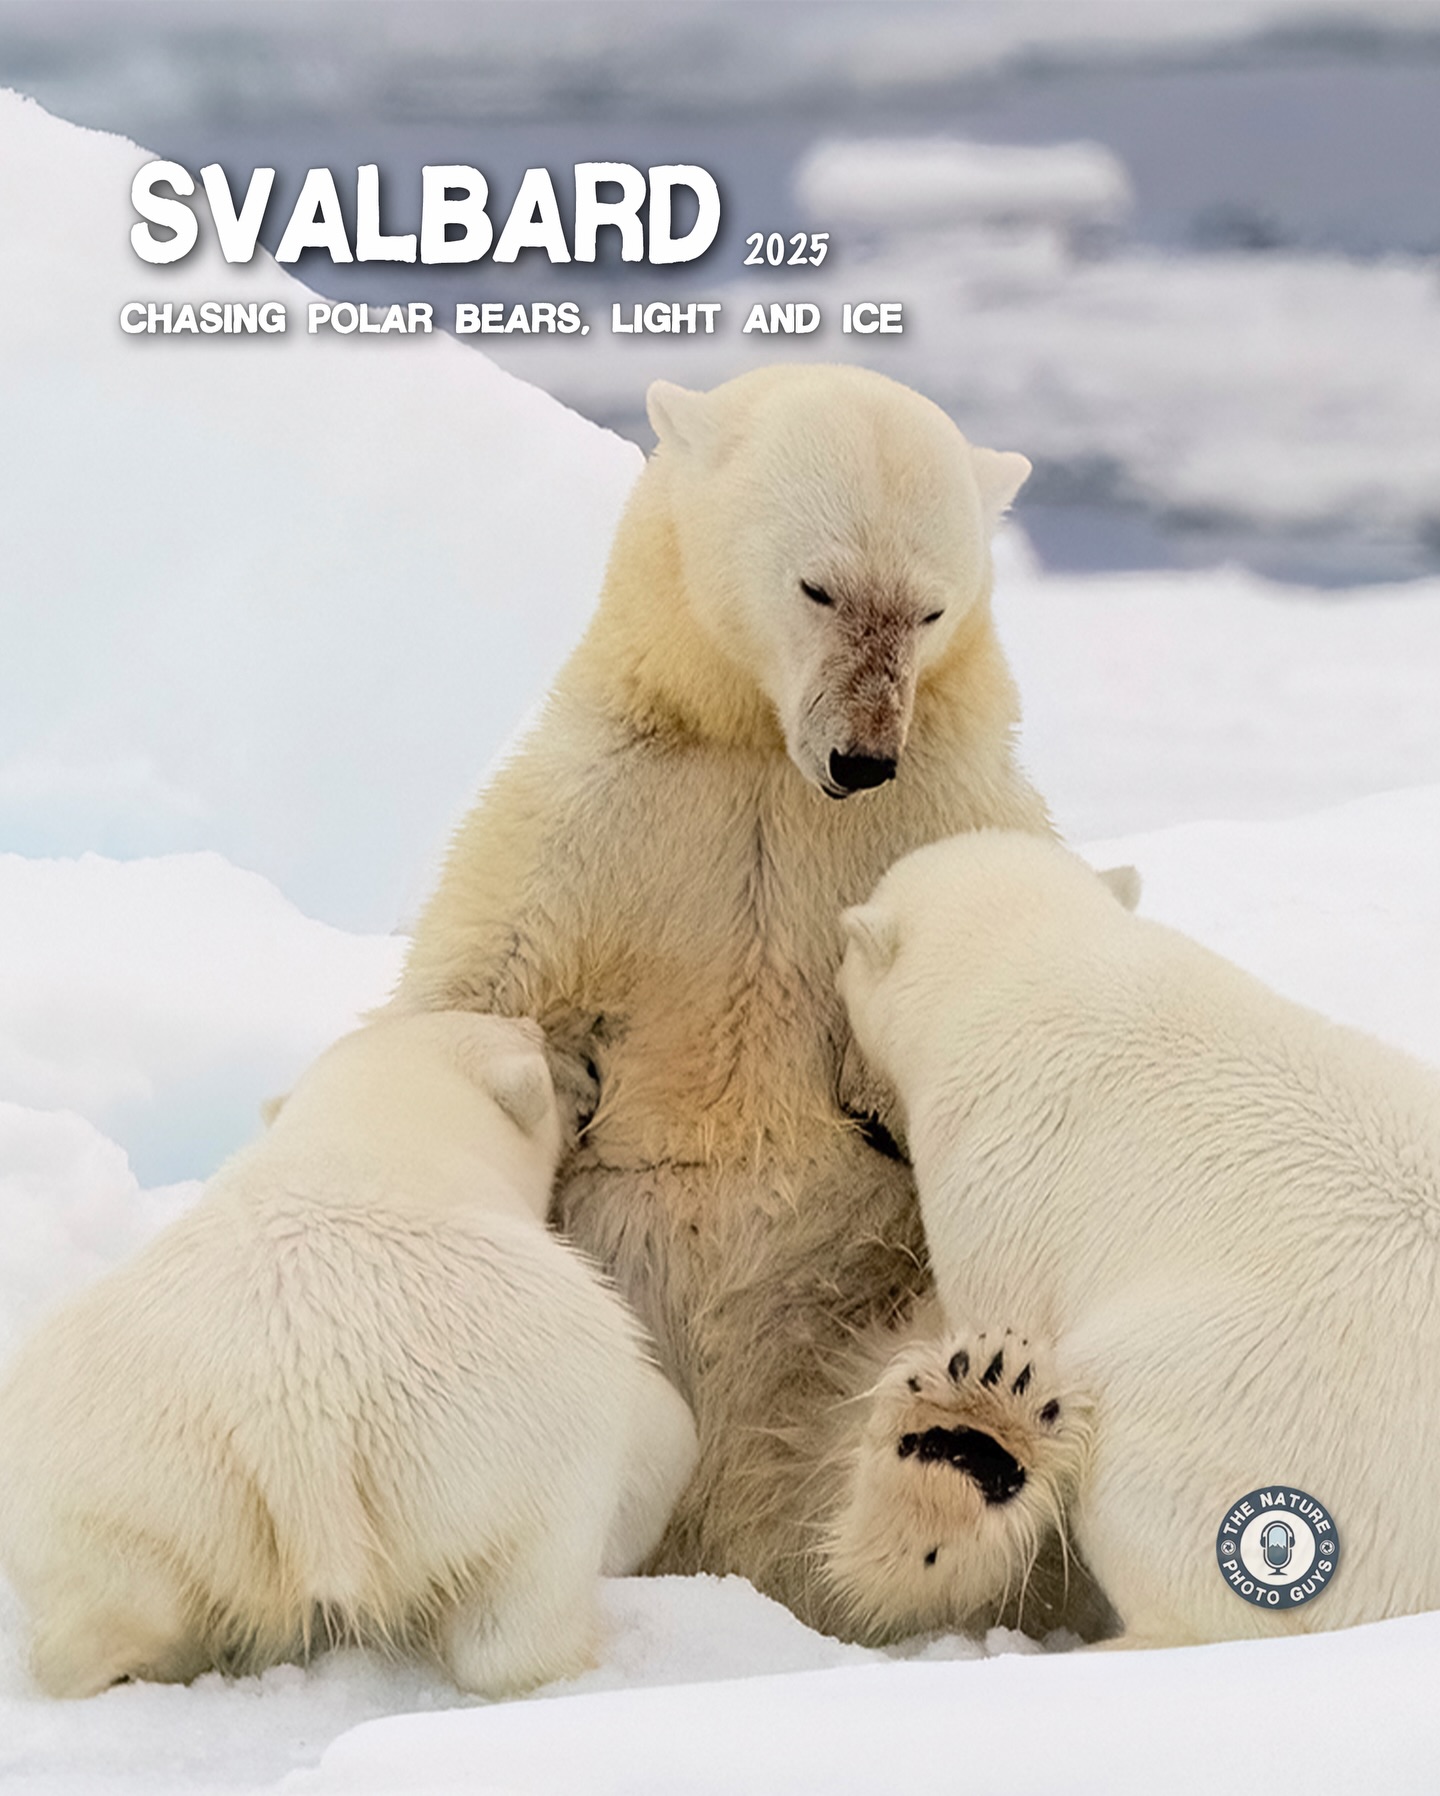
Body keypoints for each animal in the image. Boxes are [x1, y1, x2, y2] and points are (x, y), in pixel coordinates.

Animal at [0, 1011, 698, 1698]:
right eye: (538, 1042)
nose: (589, 1066)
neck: (366, 1140)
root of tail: (293, 1419)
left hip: (132, 1486)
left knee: (110, 1602)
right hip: (511, 1444)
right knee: (518, 1608)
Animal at [371, 364, 1114, 1641]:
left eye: (930, 608)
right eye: (818, 584)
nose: (864, 756)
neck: (766, 759)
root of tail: (731, 1543)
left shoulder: (944, 811)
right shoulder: (606, 810)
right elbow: (477, 991)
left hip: (852, 1333)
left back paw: (963, 1437)